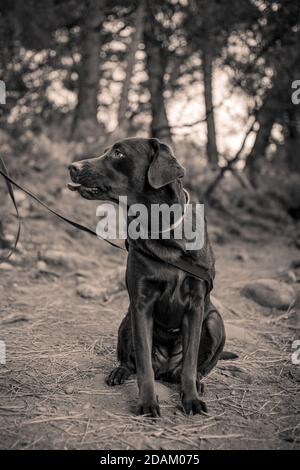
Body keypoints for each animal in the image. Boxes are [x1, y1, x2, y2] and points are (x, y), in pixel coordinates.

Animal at [68, 138, 225, 416]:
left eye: (118, 153)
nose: (72, 166)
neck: (161, 229)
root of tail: (166, 369)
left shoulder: (196, 306)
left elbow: (190, 361)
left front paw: (190, 399)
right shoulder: (141, 304)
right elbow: (143, 362)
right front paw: (148, 402)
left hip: (216, 321)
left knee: (195, 367)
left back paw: (197, 382)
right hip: (126, 320)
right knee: (132, 362)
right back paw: (120, 372)